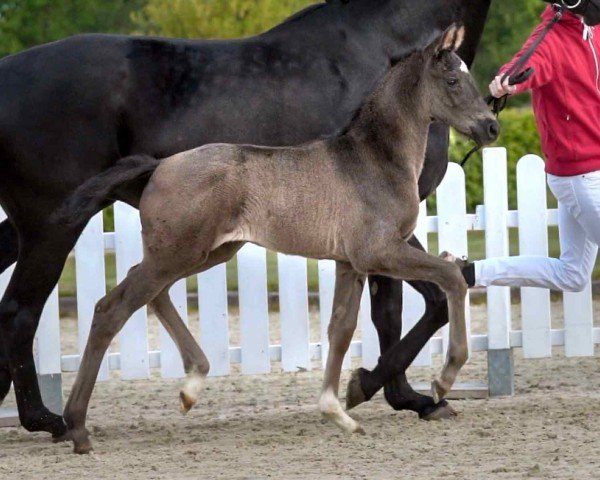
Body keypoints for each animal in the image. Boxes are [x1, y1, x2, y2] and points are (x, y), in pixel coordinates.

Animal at [0, 0, 492, 438]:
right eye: (453, 79)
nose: (490, 126)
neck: (371, 156)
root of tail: (159, 165)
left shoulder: (350, 261)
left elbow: (343, 327)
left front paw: (344, 406)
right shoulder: (381, 250)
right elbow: (449, 280)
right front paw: (436, 383)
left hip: (201, 251)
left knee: (147, 294)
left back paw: (188, 384)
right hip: (88, 236)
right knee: (90, 308)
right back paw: (68, 424)